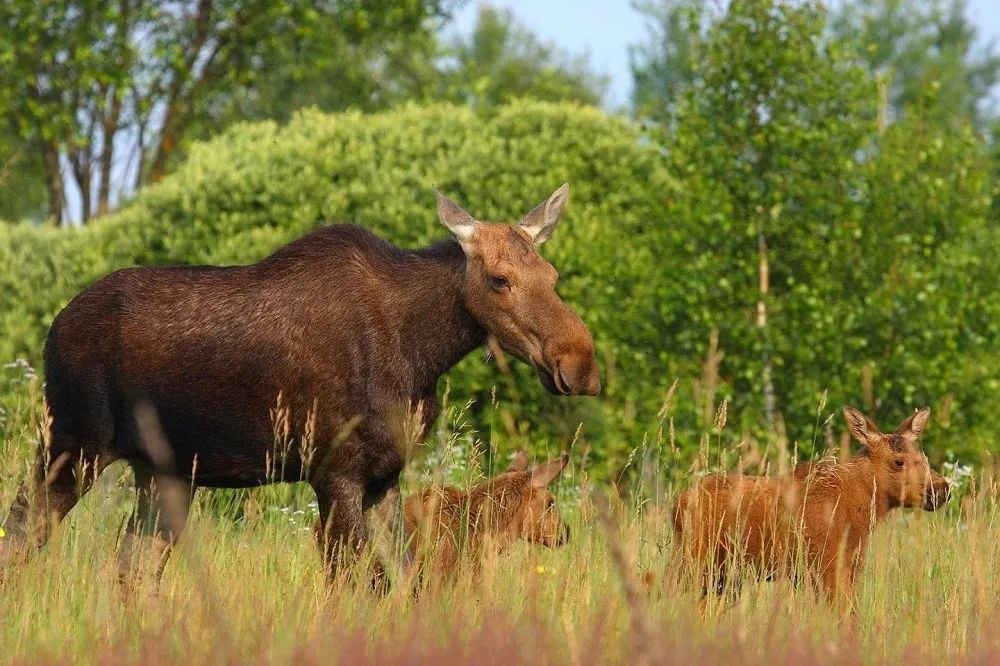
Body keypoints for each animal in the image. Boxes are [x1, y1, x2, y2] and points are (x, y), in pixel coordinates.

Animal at [0, 183, 596, 580]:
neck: (421, 356)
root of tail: (54, 327)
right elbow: (358, 582)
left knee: (132, 569)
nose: (579, 362)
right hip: (72, 444)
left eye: (552, 276)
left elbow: (403, 579)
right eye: (498, 279)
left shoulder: (384, 478)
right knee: (24, 532)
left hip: (161, 471)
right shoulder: (335, 472)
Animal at [676, 402, 948, 608]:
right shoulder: (827, 565)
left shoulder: (850, 566)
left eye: (922, 456)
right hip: (694, 559)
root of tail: (677, 503)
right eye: (899, 461)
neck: (861, 505)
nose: (942, 489)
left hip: (722, 575)